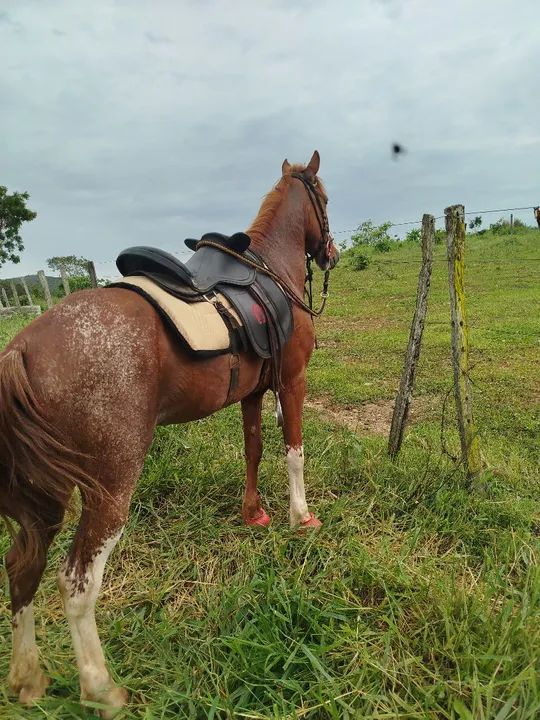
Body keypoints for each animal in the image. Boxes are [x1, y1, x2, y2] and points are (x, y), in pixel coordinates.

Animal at [0, 150, 339, 716]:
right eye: (326, 200)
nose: (332, 252)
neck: (268, 269)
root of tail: (19, 350)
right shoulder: (292, 381)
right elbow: (293, 451)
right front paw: (300, 518)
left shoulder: (252, 392)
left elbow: (252, 450)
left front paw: (254, 514)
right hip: (110, 489)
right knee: (75, 583)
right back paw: (101, 688)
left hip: (42, 495)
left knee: (22, 566)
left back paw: (27, 678)